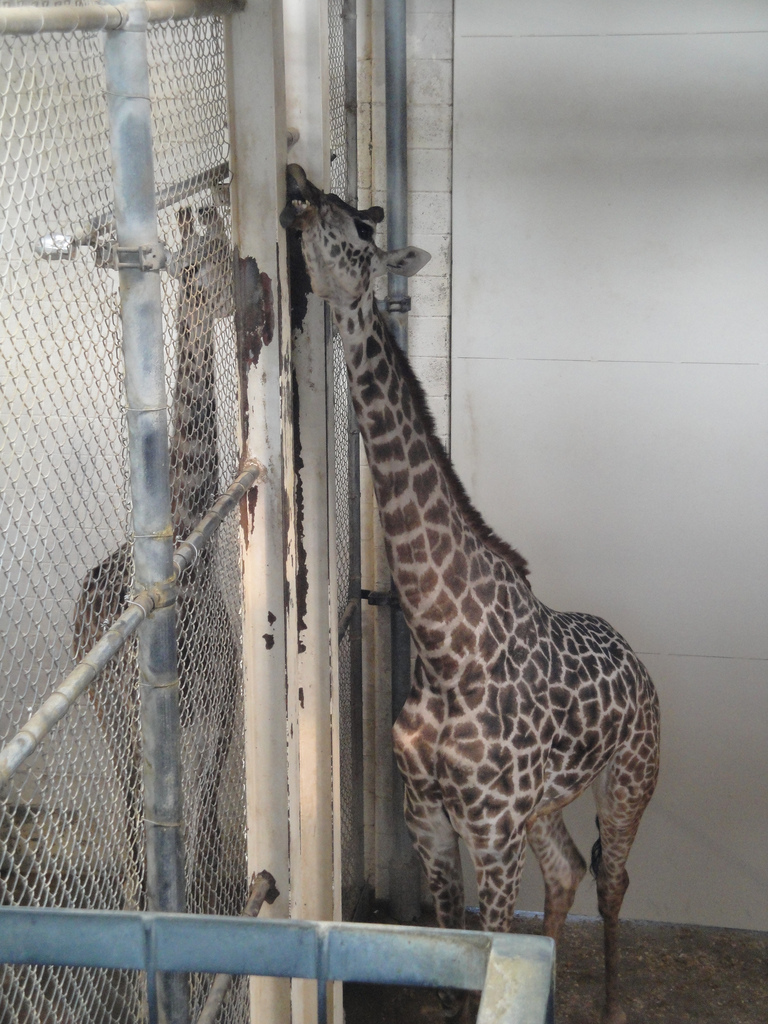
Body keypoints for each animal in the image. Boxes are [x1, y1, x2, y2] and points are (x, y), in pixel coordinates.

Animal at [281, 165, 660, 1024]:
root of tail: (637, 660)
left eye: (358, 234)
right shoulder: (428, 813)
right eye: (326, 203)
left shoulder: (490, 824)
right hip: (545, 806)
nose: (300, 191)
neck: (443, 643)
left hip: (629, 781)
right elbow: (455, 944)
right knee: (567, 874)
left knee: (613, 879)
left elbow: (489, 941)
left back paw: (612, 1002)